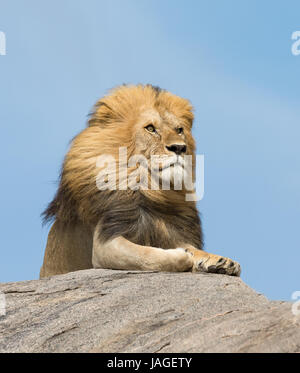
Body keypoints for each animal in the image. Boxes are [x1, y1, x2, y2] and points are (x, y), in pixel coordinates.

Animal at [40, 83, 241, 276]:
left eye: (179, 130)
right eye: (150, 128)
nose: (179, 148)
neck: (150, 189)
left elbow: (192, 248)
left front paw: (222, 262)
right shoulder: (104, 245)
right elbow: (149, 254)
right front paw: (183, 256)